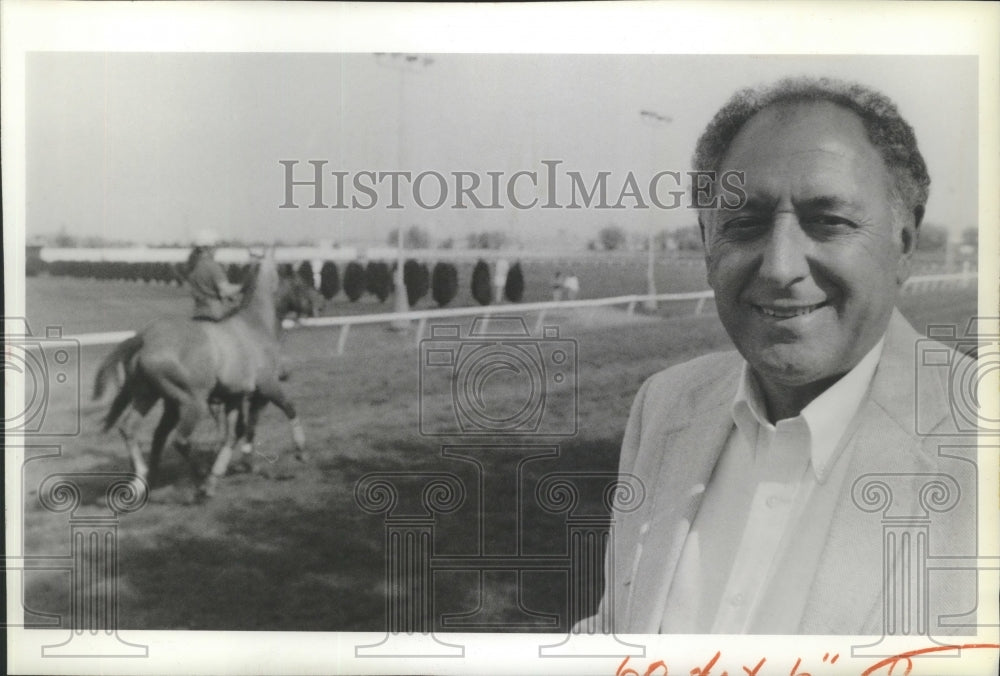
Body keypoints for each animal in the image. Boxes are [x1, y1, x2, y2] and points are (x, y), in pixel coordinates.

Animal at [97, 247, 308, 496]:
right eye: (302, 282)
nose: (320, 304)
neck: (255, 326)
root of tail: (144, 338)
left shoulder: (236, 396)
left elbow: (235, 433)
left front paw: (228, 469)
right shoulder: (267, 387)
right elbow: (288, 409)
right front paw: (300, 450)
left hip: (149, 396)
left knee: (132, 430)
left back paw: (143, 479)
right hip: (191, 402)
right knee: (179, 440)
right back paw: (199, 474)